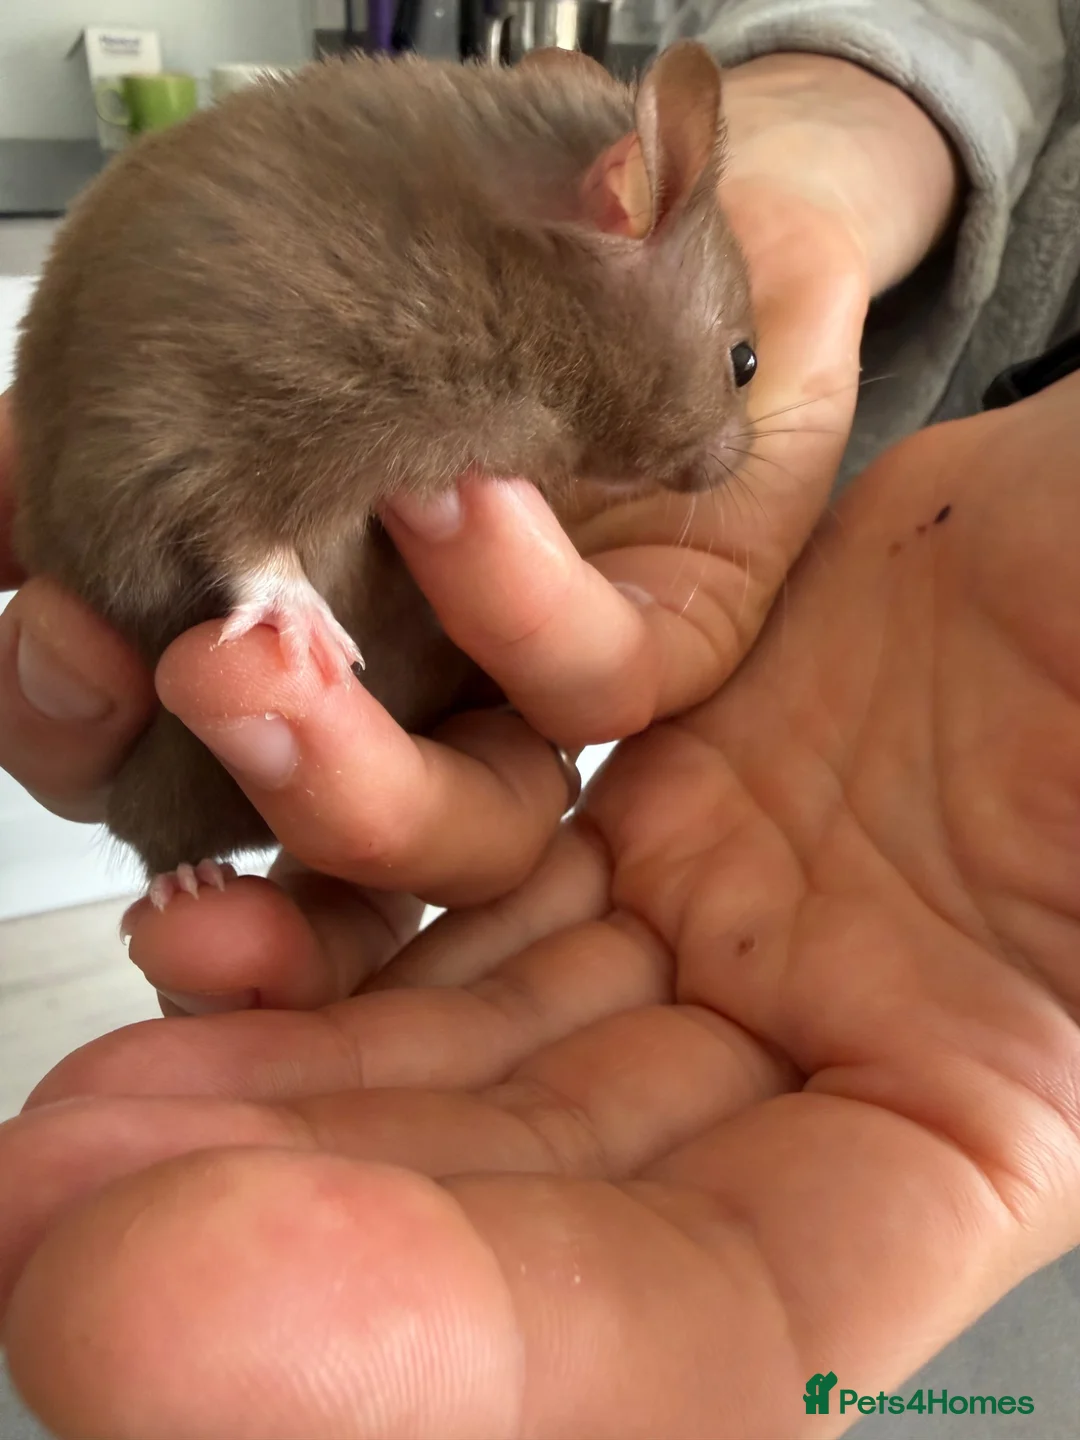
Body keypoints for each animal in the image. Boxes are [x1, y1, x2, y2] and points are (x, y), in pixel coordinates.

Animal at [11, 41, 757, 888]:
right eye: (744, 362)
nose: (735, 466)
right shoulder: (185, 427)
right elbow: (241, 538)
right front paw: (315, 639)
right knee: (155, 834)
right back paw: (189, 882)